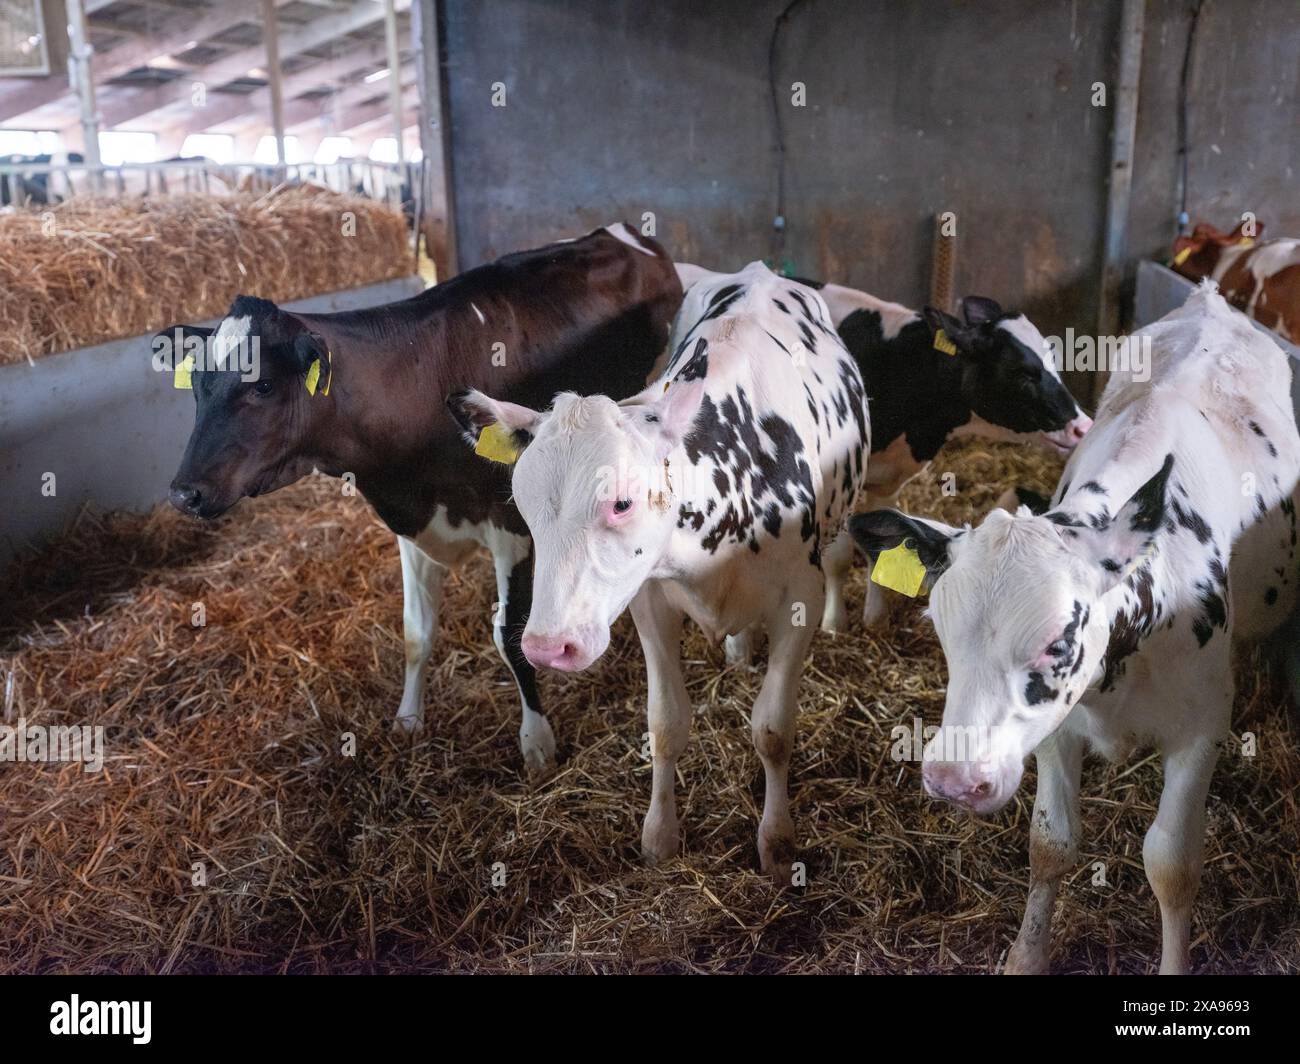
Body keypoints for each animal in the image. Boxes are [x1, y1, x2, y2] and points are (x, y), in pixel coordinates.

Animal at [161, 223, 682, 772]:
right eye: (197, 386)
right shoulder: (413, 522)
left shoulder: (511, 527)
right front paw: (409, 719)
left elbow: (509, 637)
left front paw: (536, 741)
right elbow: (416, 632)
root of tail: (623, 232)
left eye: (261, 385)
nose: (184, 493)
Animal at [447, 262, 870, 874]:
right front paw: (660, 836)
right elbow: (665, 723)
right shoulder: (648, 600)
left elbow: (772, 730)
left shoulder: (801, 595)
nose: (547, 647)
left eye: (622, 502)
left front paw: (776, 841)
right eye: (522, 503)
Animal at [850, 282, 1300, 974]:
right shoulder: (1058, 727)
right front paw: (1026, 957)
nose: (952, 781)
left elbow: (1171, 864)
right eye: (942, 639)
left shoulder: (1203, 726)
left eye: (1058, 643)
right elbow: (1051, 844)